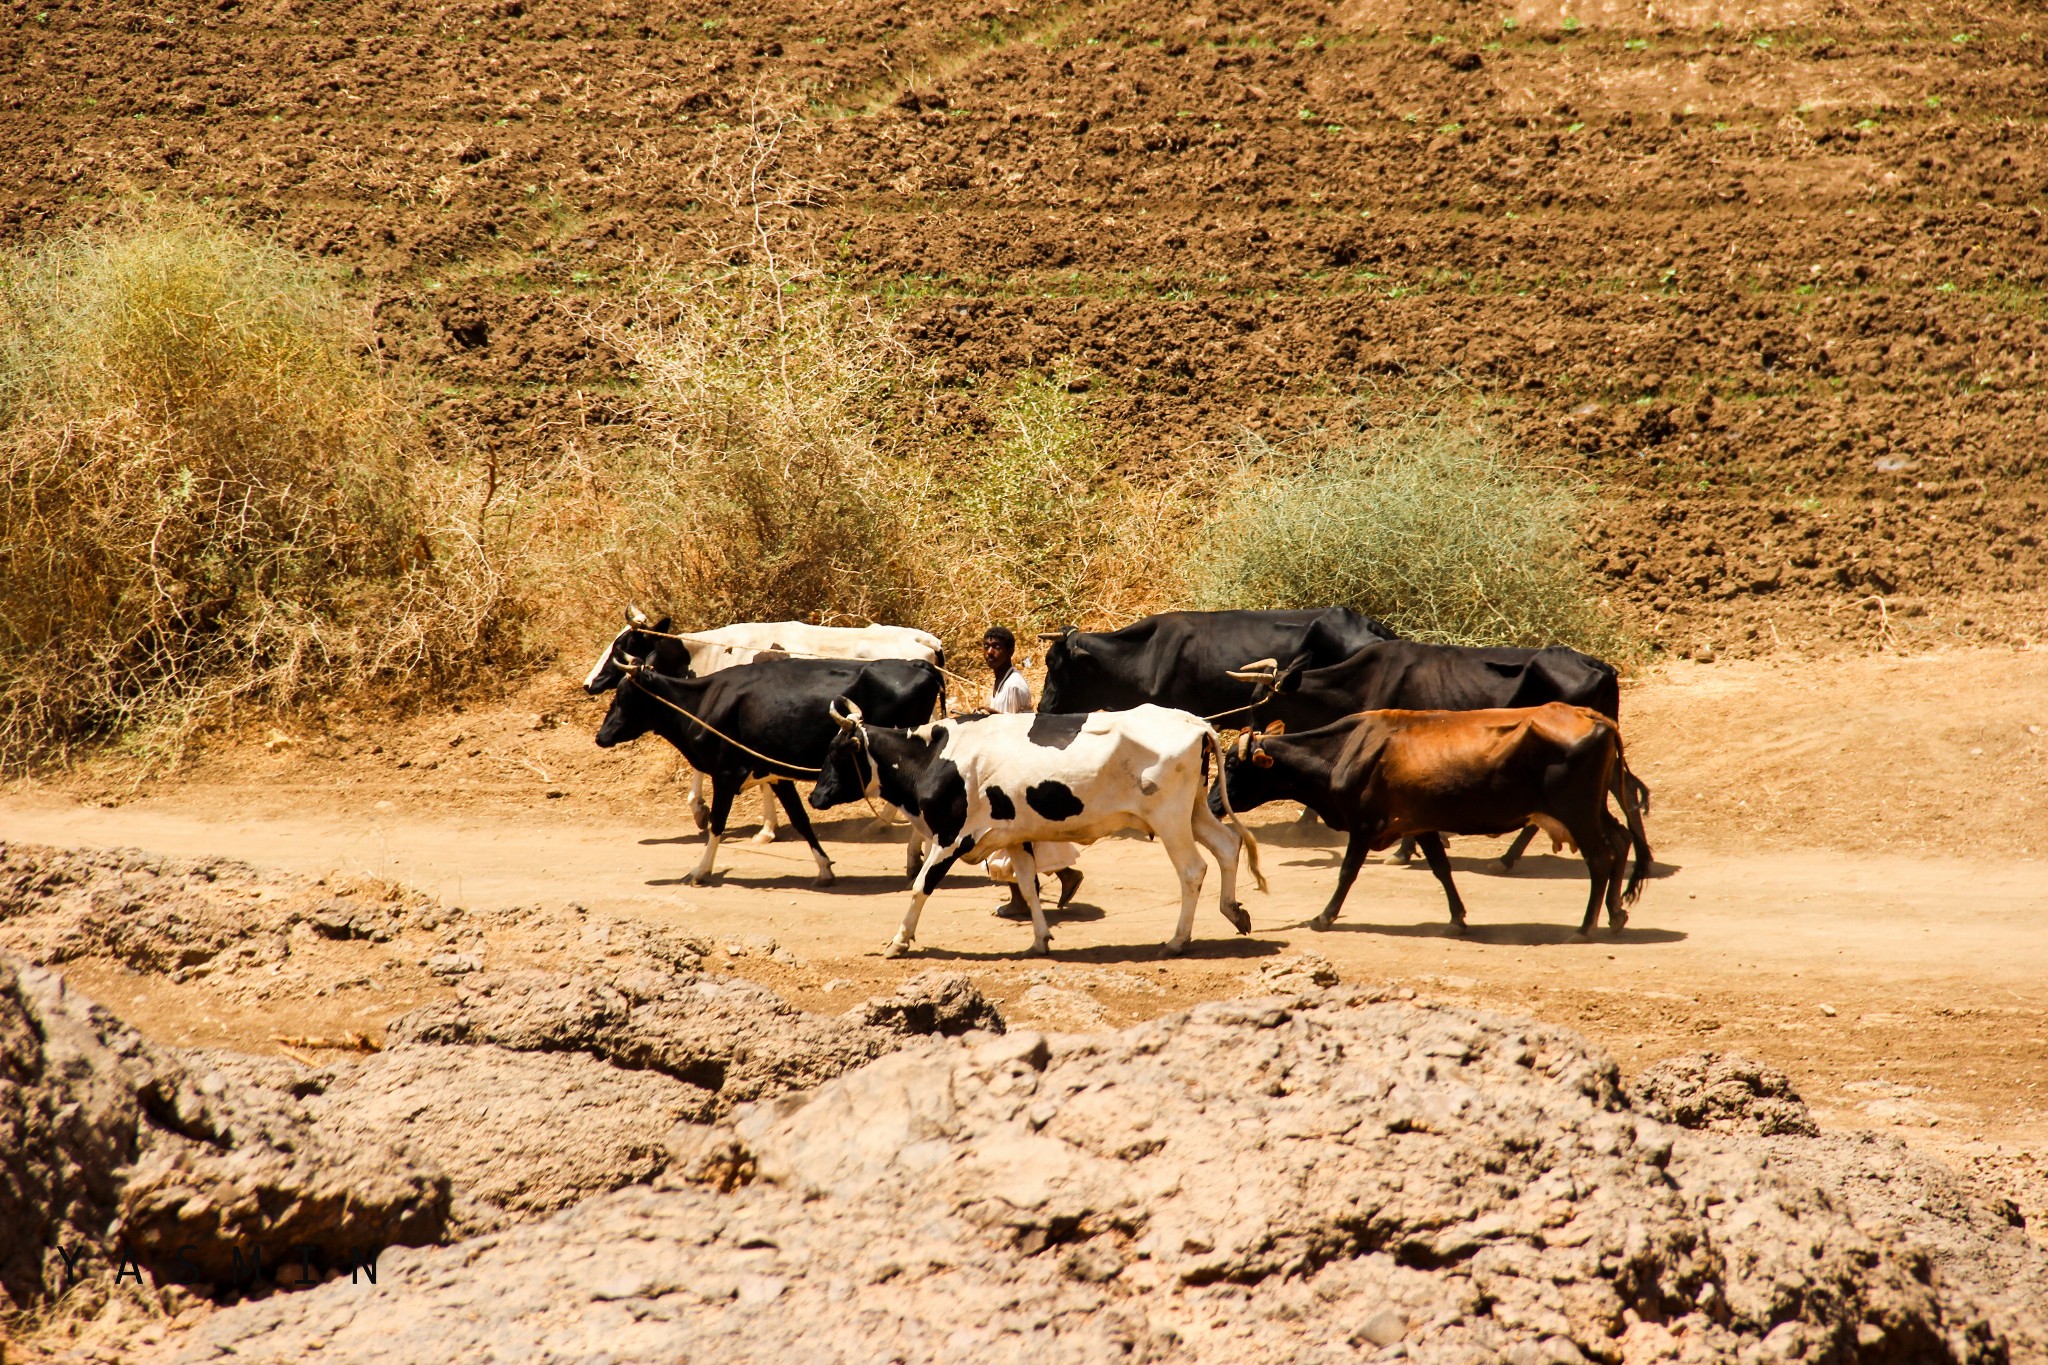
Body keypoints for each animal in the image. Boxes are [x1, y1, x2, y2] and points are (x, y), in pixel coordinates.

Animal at [802, 703, 1261, 961]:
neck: (934, 757)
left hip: (1170, 820)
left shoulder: (951, 837)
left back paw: (1178, 940)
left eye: (837, 752)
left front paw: (899, 941)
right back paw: (1234, 911)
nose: (815, 796)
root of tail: (1195, 722)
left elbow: (920, 886)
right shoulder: (1014, 836)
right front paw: (1040, 940)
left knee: (1192, 870)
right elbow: (1027, 883)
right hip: (1194, 812)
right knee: (1228, 845)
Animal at [1212, 703, 1646, 941]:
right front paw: (1457, 919)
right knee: (1621, 840)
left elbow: (1347, 872)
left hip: (1577, 811)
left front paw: (1323, 917)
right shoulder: (1421, 825)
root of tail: (1593, 715)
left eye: (1232, 764)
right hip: (1593, 810)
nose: (1214, 802)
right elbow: (1441, 868)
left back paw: (1585, 927)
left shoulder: (1365, 826)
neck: (1345, 751)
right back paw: (1616, 915)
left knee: (1600, 858)